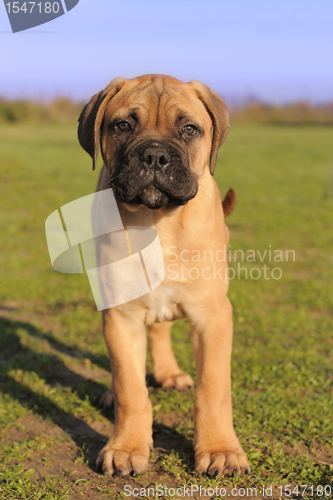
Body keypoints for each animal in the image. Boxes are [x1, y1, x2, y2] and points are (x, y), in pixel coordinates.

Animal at [78, 73, 249, 476]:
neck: (157, 220)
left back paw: (170, 374)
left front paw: (220, 449)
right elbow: (130, 388)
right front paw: (126, 447)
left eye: (189, 129)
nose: (154, 156)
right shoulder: (120, 315)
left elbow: (213, 389)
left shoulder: (212, 314)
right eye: (123, 125)